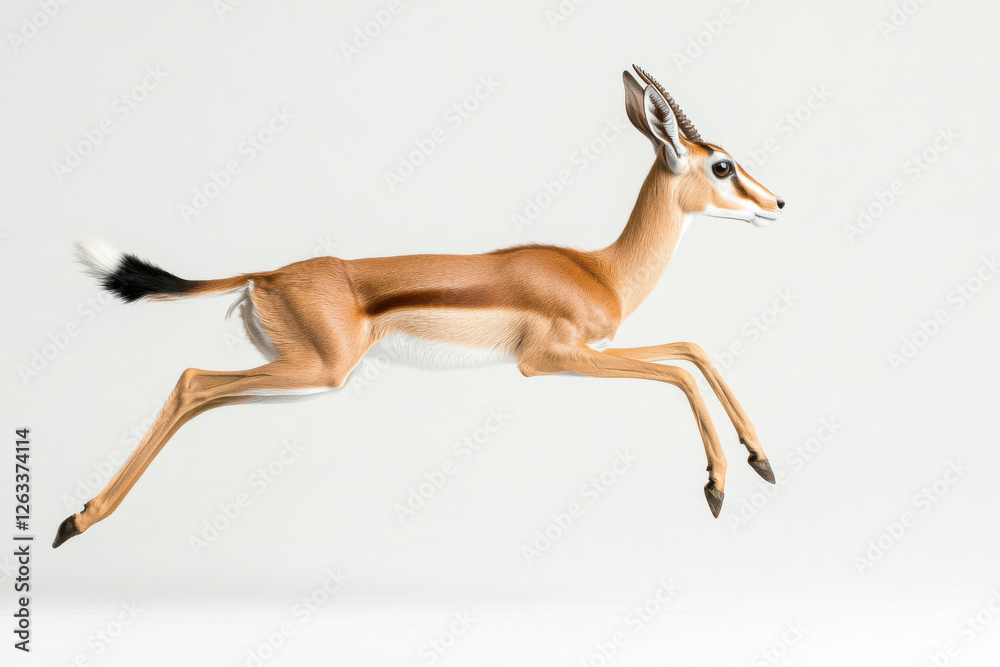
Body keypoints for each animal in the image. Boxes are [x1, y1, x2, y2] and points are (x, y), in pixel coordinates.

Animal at [53, 65, 784, 549]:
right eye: (721, 165)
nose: (778, 203)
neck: (600, 270)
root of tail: (268, 274)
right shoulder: (549, 359)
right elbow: (679, 370)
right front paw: (717, 486)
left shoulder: (593, 351)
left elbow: (693, 349)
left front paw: (760, 459)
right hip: (317, 372)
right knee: (189, 382)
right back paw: (76, 520)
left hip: (296, 378)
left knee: (199, 396)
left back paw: (78, 518)